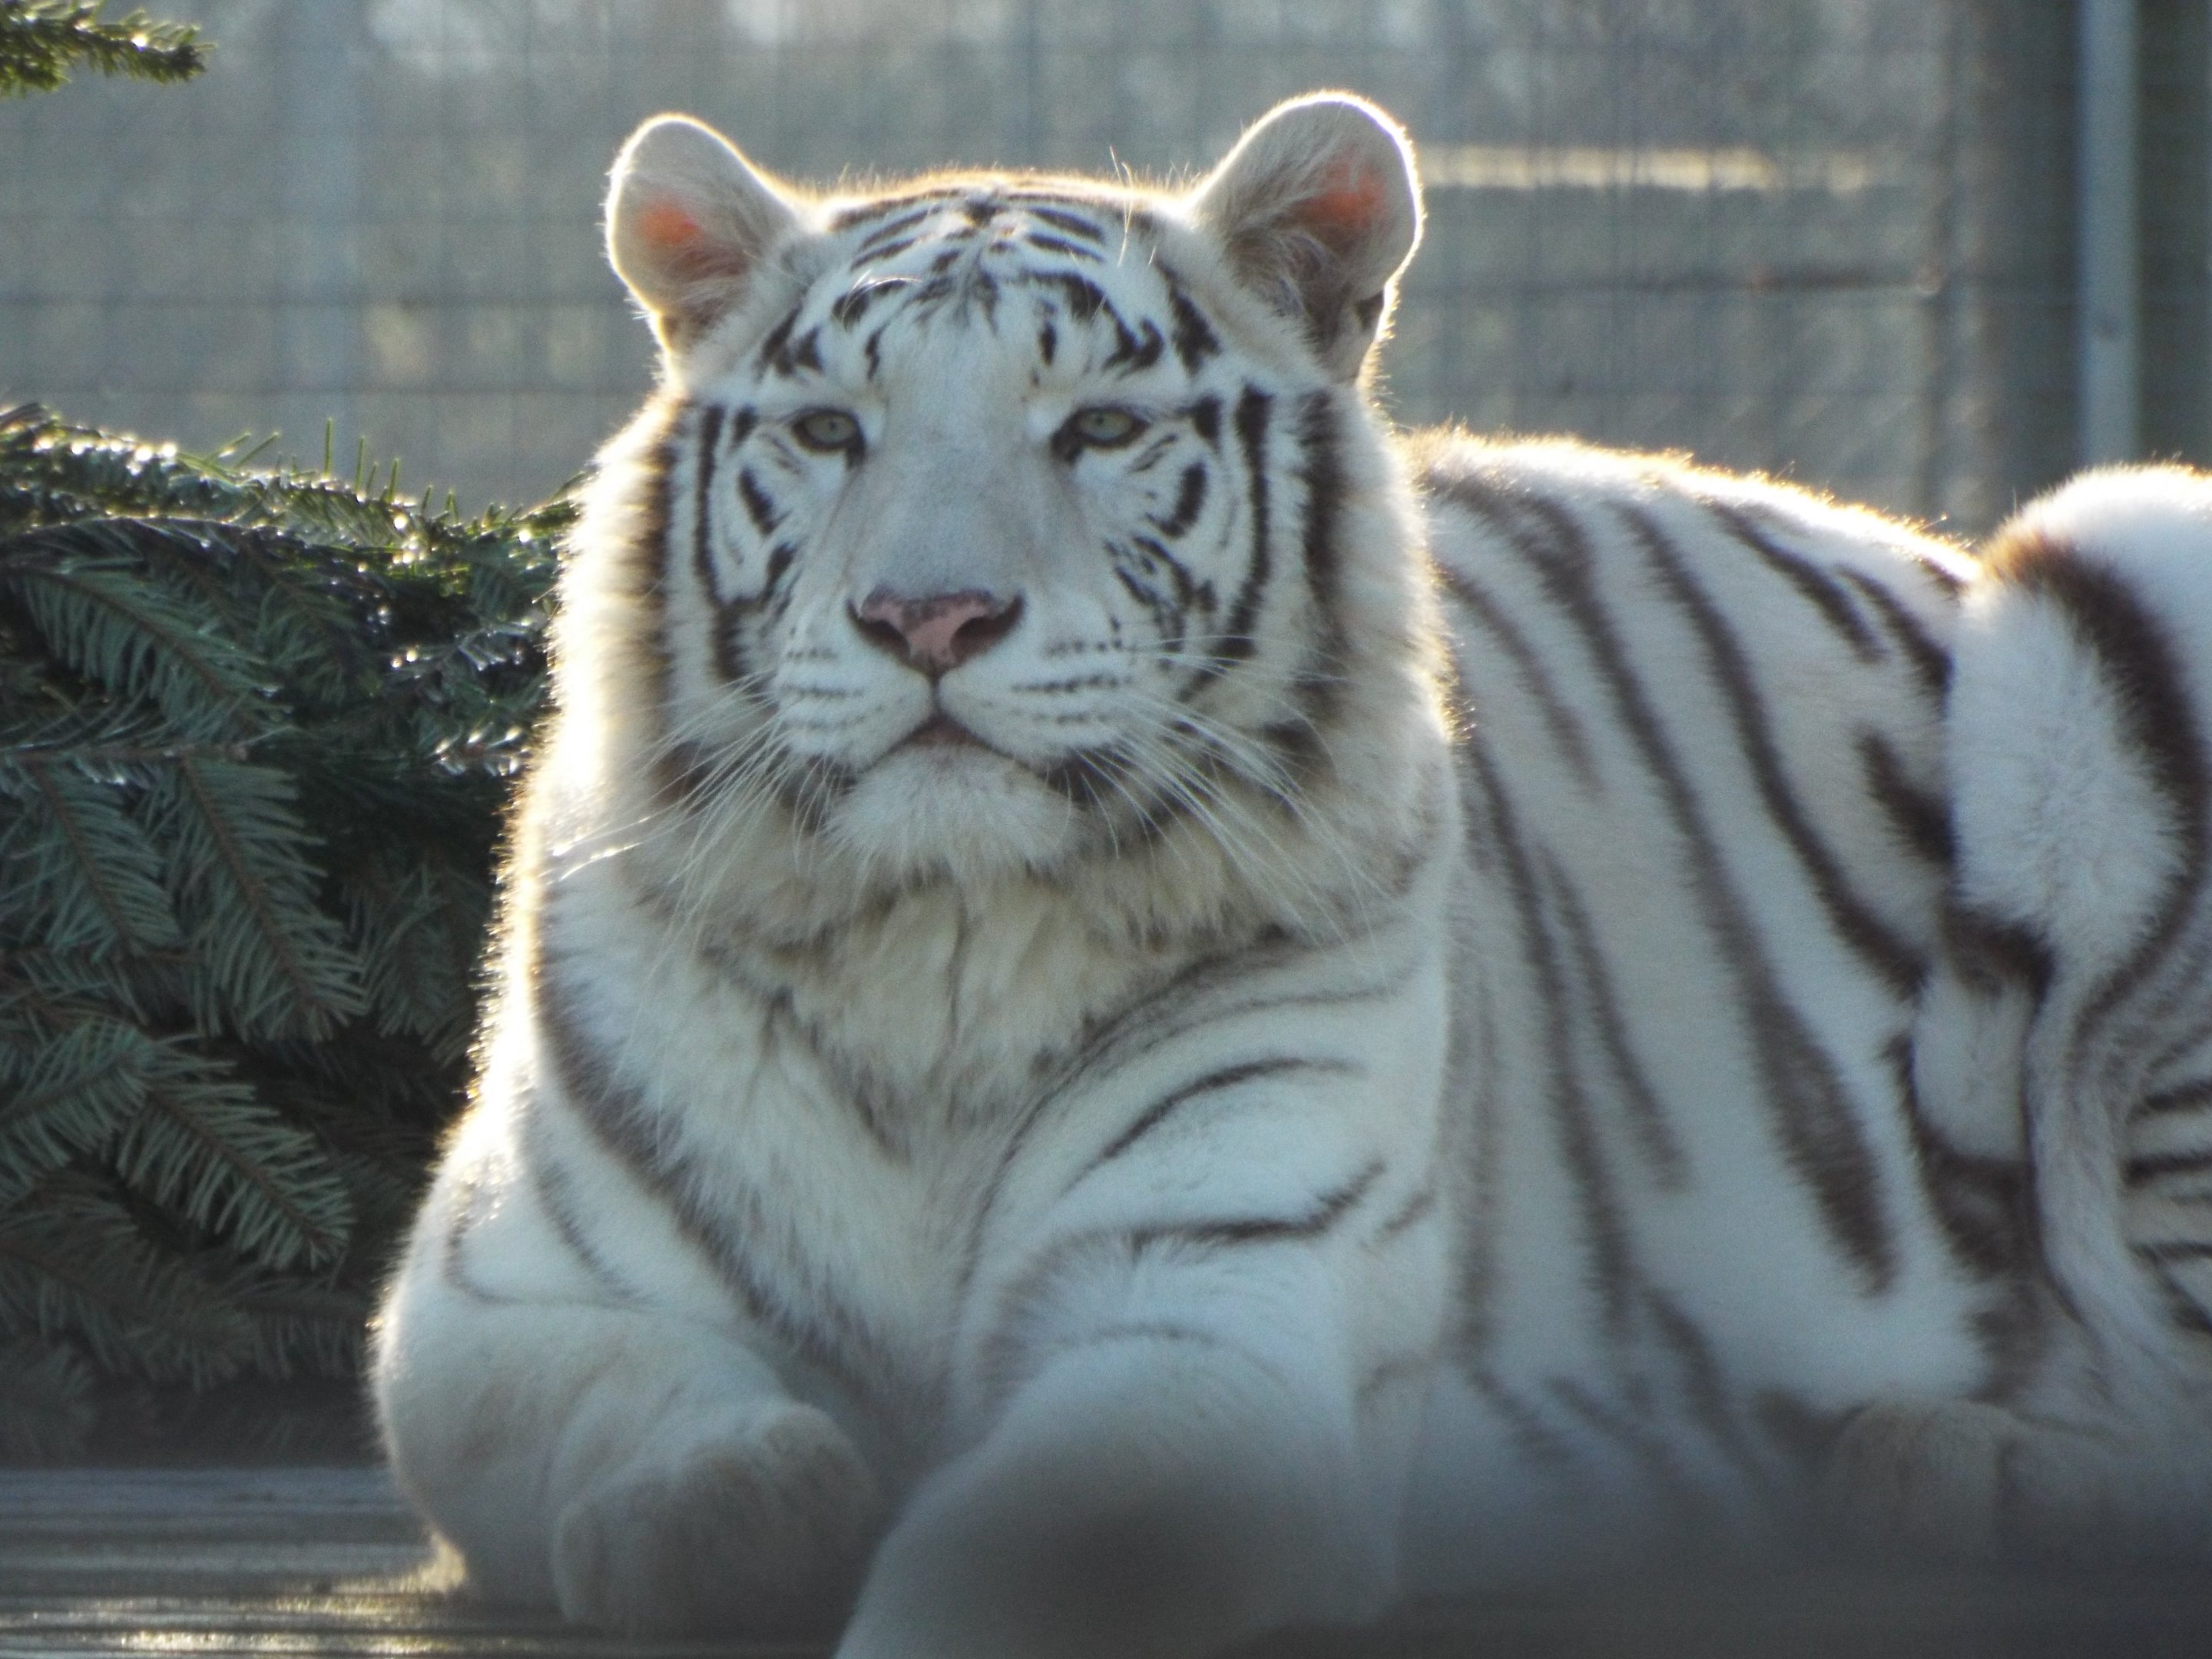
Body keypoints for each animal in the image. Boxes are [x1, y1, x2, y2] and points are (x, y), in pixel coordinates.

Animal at [369, 91, 2212, 1656]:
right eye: (831, 430)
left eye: (1101, 428)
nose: (929, 620)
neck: (940, 957)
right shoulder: (491, 1305)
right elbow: (642, 1421)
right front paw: (742, 1509)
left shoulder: (1213, 1305)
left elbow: (1010, 1565)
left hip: (2127, 557)